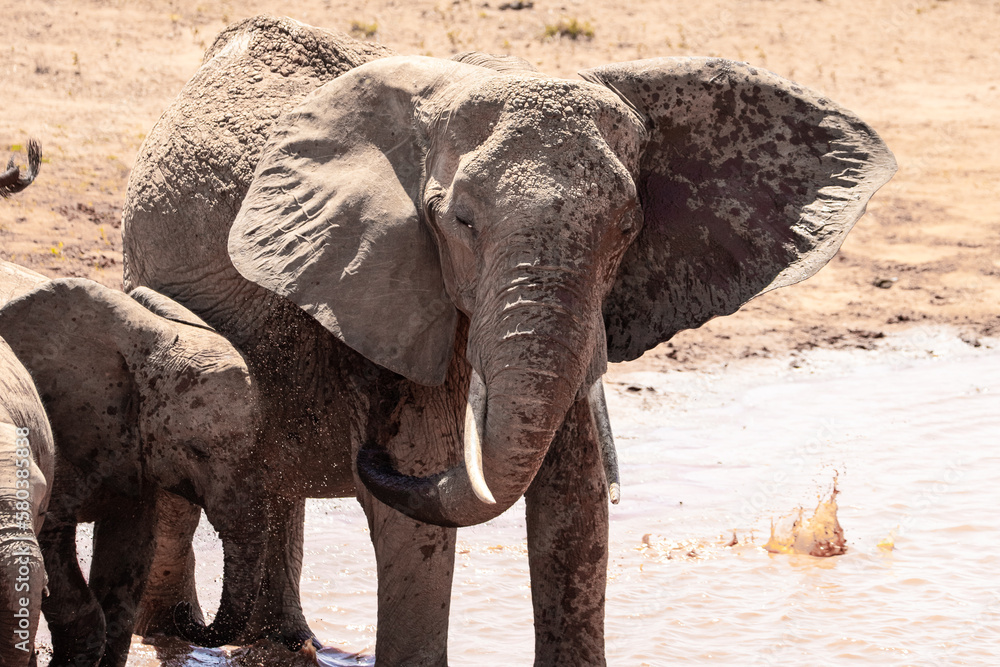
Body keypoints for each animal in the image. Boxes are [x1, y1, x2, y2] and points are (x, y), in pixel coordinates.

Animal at [0, 268, 270, 667]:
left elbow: (130, 551)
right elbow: (54, 542)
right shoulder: (63, 429)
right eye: (197, 451)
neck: (150, 341)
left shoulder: (134, 451)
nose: (185, 614)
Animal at [121, 14, 896, 665]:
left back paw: (280, 642)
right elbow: (421, 510)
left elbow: (574, 505)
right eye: (459, 221)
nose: (362, 452)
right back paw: (182, 635)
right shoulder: (388, 282)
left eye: (628, 227)